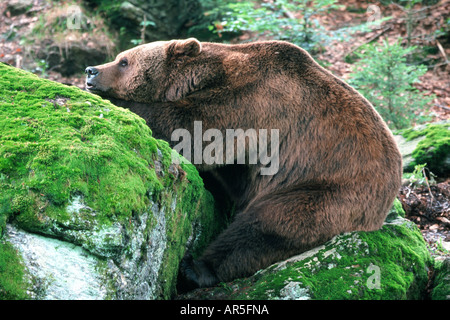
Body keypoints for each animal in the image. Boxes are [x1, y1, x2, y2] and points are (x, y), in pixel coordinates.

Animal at [86, 37, 402, 290]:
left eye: (124, 61)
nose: (91, 71)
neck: (209, 74)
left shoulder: (251, 101)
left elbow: (194, 130)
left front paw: (126, 104)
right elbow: (232, 173)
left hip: (332, 189)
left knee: (270, 223)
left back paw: (196, 268)